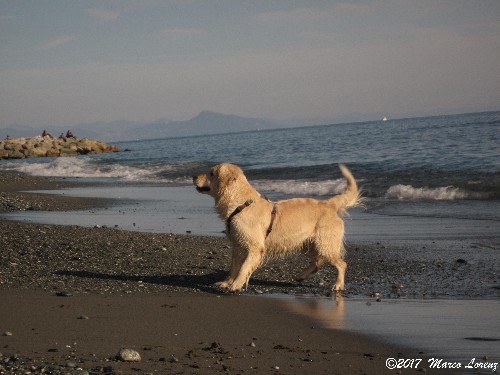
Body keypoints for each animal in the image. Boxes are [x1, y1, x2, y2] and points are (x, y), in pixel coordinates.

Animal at [191, 164, 360, 294]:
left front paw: (236, 285)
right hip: (306, 243)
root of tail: (329, 204)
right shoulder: (238, 245)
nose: (193, 176)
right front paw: (226, 283)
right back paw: (301, 276)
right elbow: (234, 267)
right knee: (318, 261)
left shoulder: (254, 247)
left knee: (341, 263)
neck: (241, 204)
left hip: (324, 243)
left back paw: (338, 284)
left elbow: (243, 268)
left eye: (212, 173)